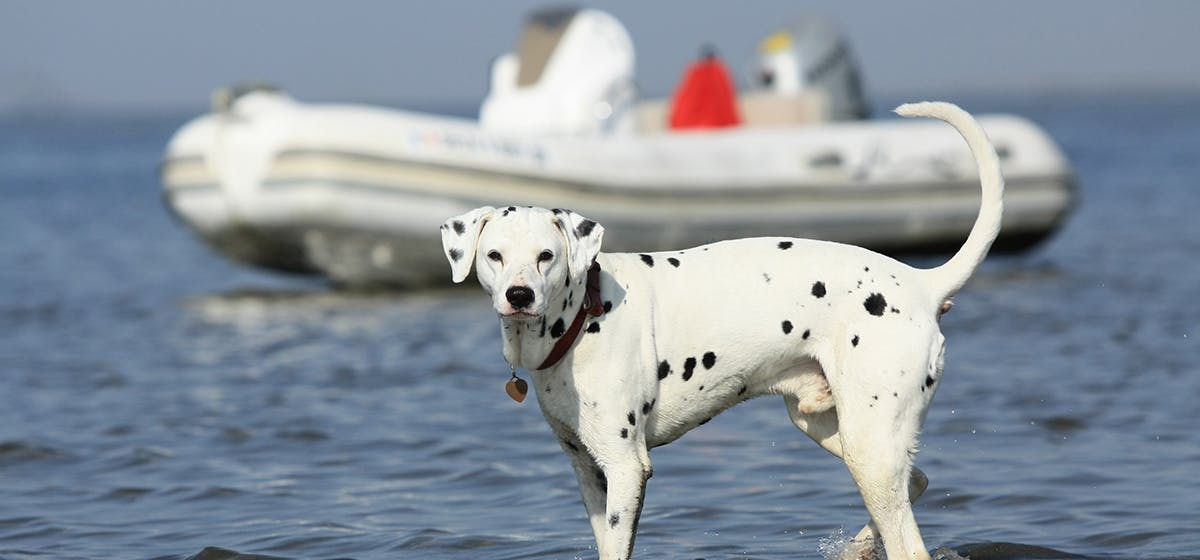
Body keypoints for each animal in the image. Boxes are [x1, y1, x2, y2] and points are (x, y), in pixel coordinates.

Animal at [441, 101, 1003, 560]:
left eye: (546, 256)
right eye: (495, 256)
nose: (519, 296)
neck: (583, 315)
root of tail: (919, 282)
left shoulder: (625, 467)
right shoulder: (588, 471)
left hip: (870, 444)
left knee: (910, 541)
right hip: (833, 431)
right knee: (916, 483)